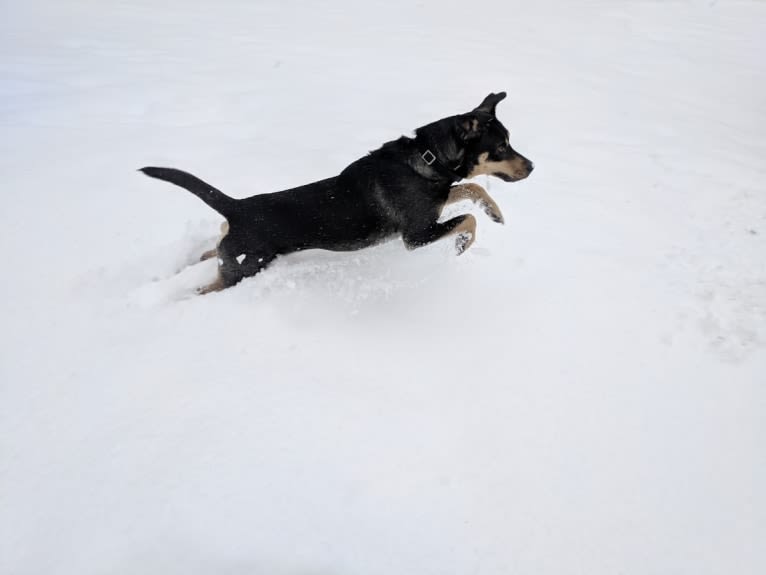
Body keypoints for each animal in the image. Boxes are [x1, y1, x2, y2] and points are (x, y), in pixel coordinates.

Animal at [140, 93, 536, 296]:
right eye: (502, 146)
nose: (532, 166)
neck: (428, 158)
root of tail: (235, 208)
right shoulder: (416, 235)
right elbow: (466, 218)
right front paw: (462, 245)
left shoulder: (436, 203)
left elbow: (469, 187)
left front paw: (495, 212)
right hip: (244, 267)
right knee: (207, 286)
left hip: (232, 255)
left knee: (209, 251)